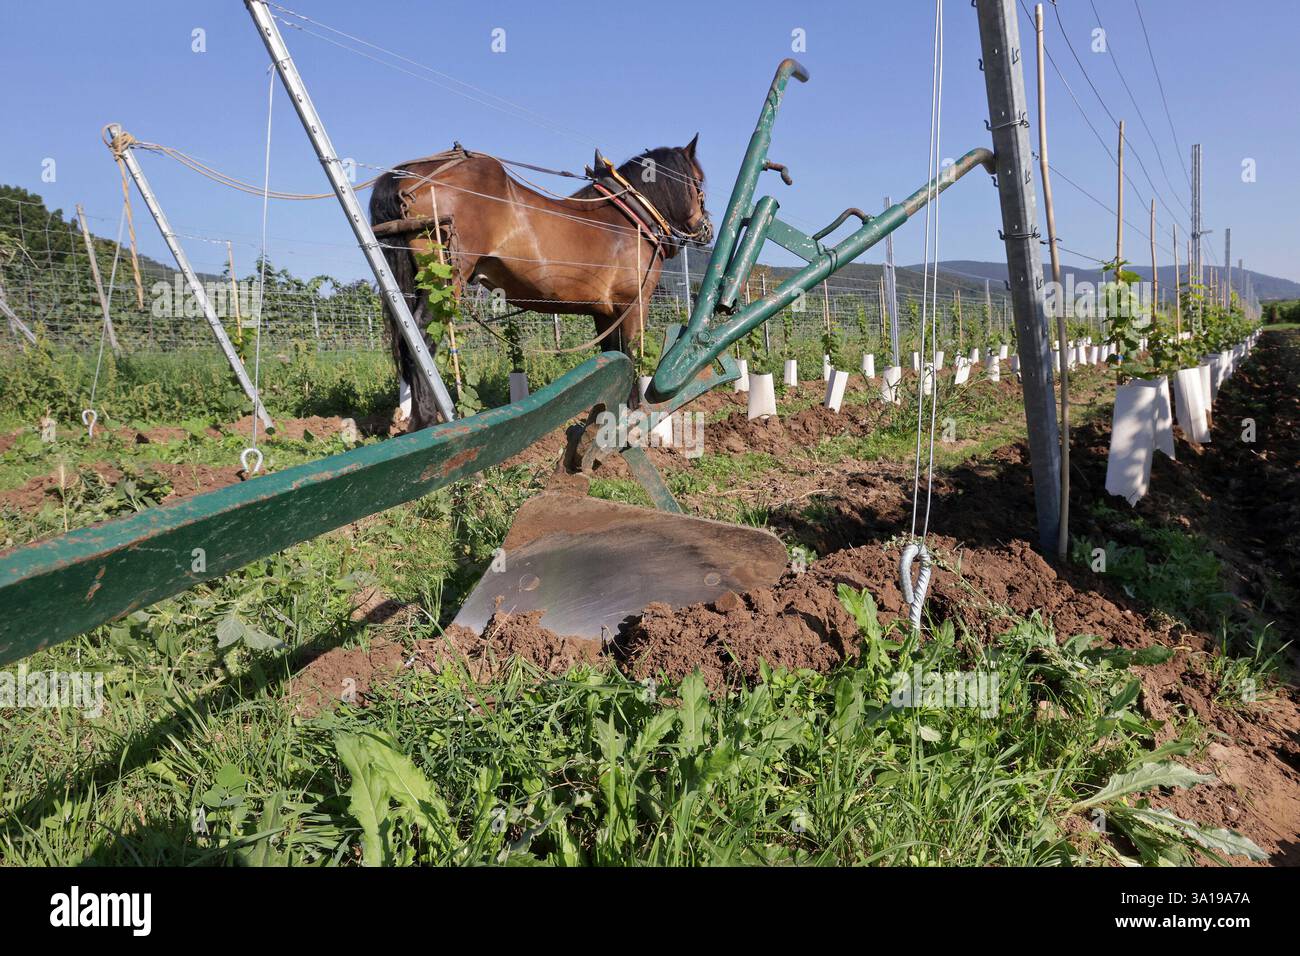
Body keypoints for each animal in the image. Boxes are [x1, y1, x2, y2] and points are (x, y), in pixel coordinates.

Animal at [368, 138, 711, 429]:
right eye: (699, 180)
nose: (706, 228)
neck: (630, 221)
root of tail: (407, 175)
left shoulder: (605, 313)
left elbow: (611, 356)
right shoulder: (633, 305)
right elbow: (632, 356)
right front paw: (634, 413)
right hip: (444, 282)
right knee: (422, 337)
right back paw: (426, 420)